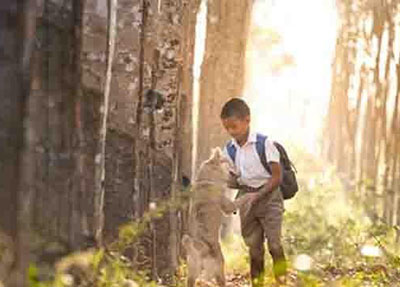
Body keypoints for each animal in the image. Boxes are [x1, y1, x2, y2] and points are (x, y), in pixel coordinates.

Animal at [183, 148, 239, 287]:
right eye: (228, 162)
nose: (238, 173)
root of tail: (200, 251)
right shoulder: (227, 205)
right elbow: (240, 201)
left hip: (192, 273)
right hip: (219, 270)